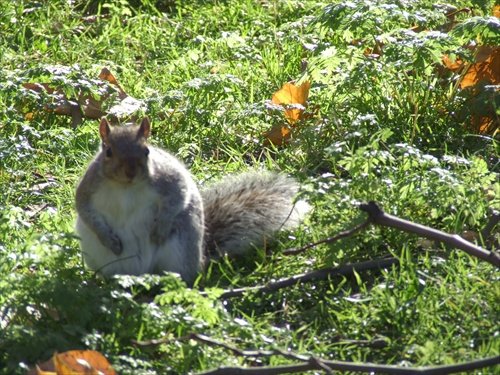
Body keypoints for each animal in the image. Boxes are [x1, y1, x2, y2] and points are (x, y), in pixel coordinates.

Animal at [75, 117, 308, 284]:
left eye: (146, 151)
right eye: (108, 152)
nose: (130, 172)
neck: (126, 188)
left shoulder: (169, 180)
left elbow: (179, 195)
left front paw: (160, 230)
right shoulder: (88, 188)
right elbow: (85, 210)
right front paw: (108, 238)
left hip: (181, 249)